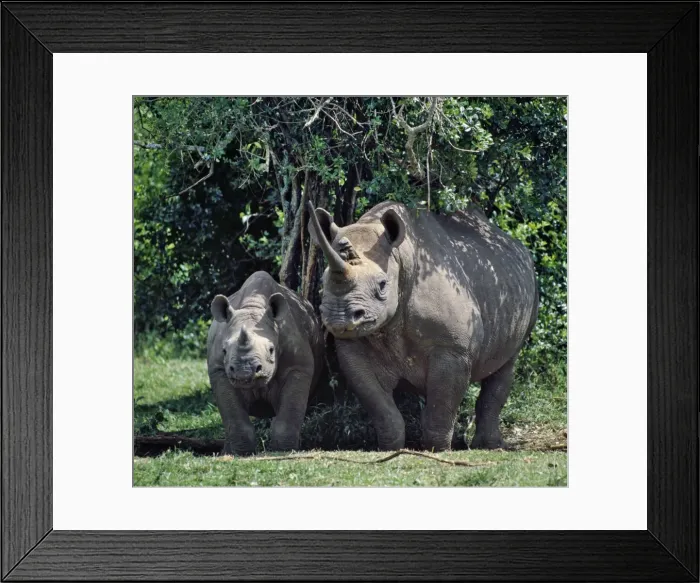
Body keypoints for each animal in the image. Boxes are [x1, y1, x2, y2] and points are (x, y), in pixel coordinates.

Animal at [207, 271, 323, 455]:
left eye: (271, 350)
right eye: (224, 351)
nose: (244, 372)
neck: (252, 306)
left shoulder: (298, 366)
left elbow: (289, 412)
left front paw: (285, 450)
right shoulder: (218, 369)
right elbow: (233, 415)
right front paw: (241, 453)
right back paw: (226, 453)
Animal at [307, 200, 539, 451]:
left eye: (382, 285)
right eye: (323, 281)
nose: (339, 317)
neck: (400, 258)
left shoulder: (453, 349)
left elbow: (442, 403)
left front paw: (437, 450)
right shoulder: (354, 347)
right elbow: (379, 404)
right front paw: (391, 449)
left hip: (528, 285)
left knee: (506, 363)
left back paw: (489, 446)